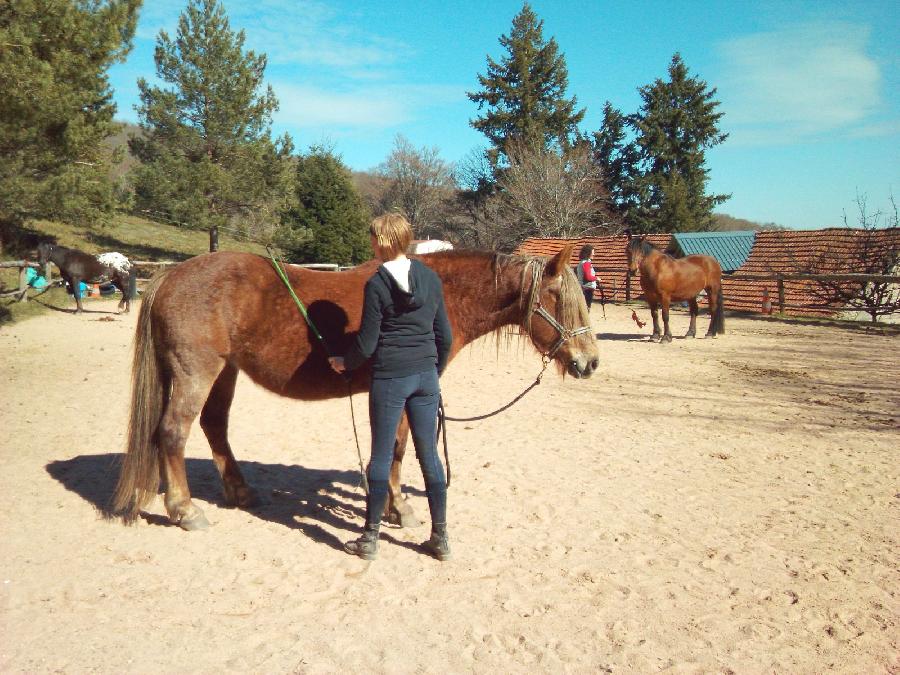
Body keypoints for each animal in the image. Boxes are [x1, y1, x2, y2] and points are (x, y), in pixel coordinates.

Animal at [112, 246, 600, 532]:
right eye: (557, 298)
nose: (589, 361)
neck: (430, 293)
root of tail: (170, 275)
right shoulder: (407, 388)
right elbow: (399, 448)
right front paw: (399, 509)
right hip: (196, 371)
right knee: (172, 433)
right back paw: (185, 510)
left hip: (223, 371)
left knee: (214, 426)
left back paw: (241, 492)